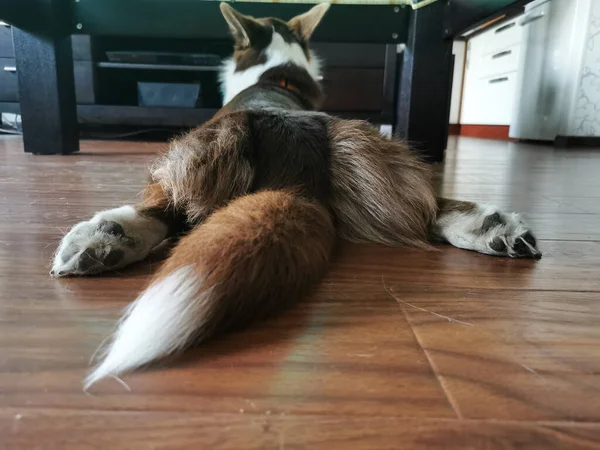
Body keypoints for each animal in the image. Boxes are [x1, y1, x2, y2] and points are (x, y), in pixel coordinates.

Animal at [49, 2, 540, 390]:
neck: (275, 80)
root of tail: (296, 164)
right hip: (386, 160)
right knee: (430, 209)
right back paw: (489, 227)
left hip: (179, 155)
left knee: (163, 208)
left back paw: (109, 233)